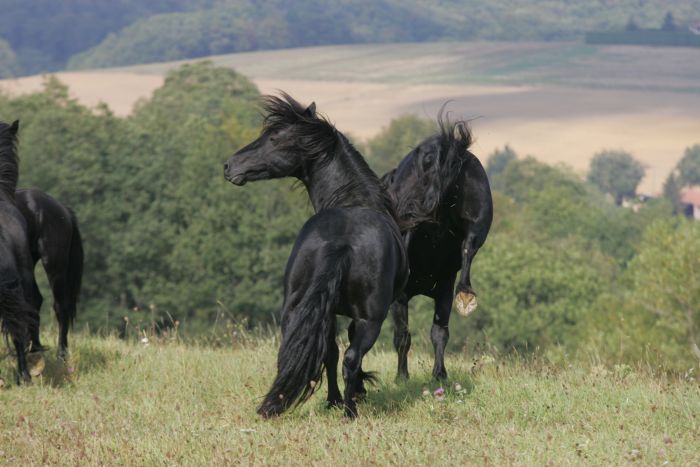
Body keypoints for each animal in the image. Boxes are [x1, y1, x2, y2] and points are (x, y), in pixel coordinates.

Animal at [224, 93, 410, 418]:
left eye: (274, 138)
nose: (229, 165)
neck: (354, 198)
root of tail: (340, 242)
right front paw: (354, 393)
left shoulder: (327, 310)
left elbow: (329, 352)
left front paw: (333, 399)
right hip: (371, 320)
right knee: (351, 358)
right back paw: (349, 410)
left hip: (294, 308)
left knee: (300, 352)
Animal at [382, 115, 492, 382]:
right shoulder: (443, 288)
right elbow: (437, 333)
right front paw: (439, 374)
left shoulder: (403, 298)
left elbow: (405, 335)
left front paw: (403, 377)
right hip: (477, 217)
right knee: (469, 245)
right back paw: (466, 294)